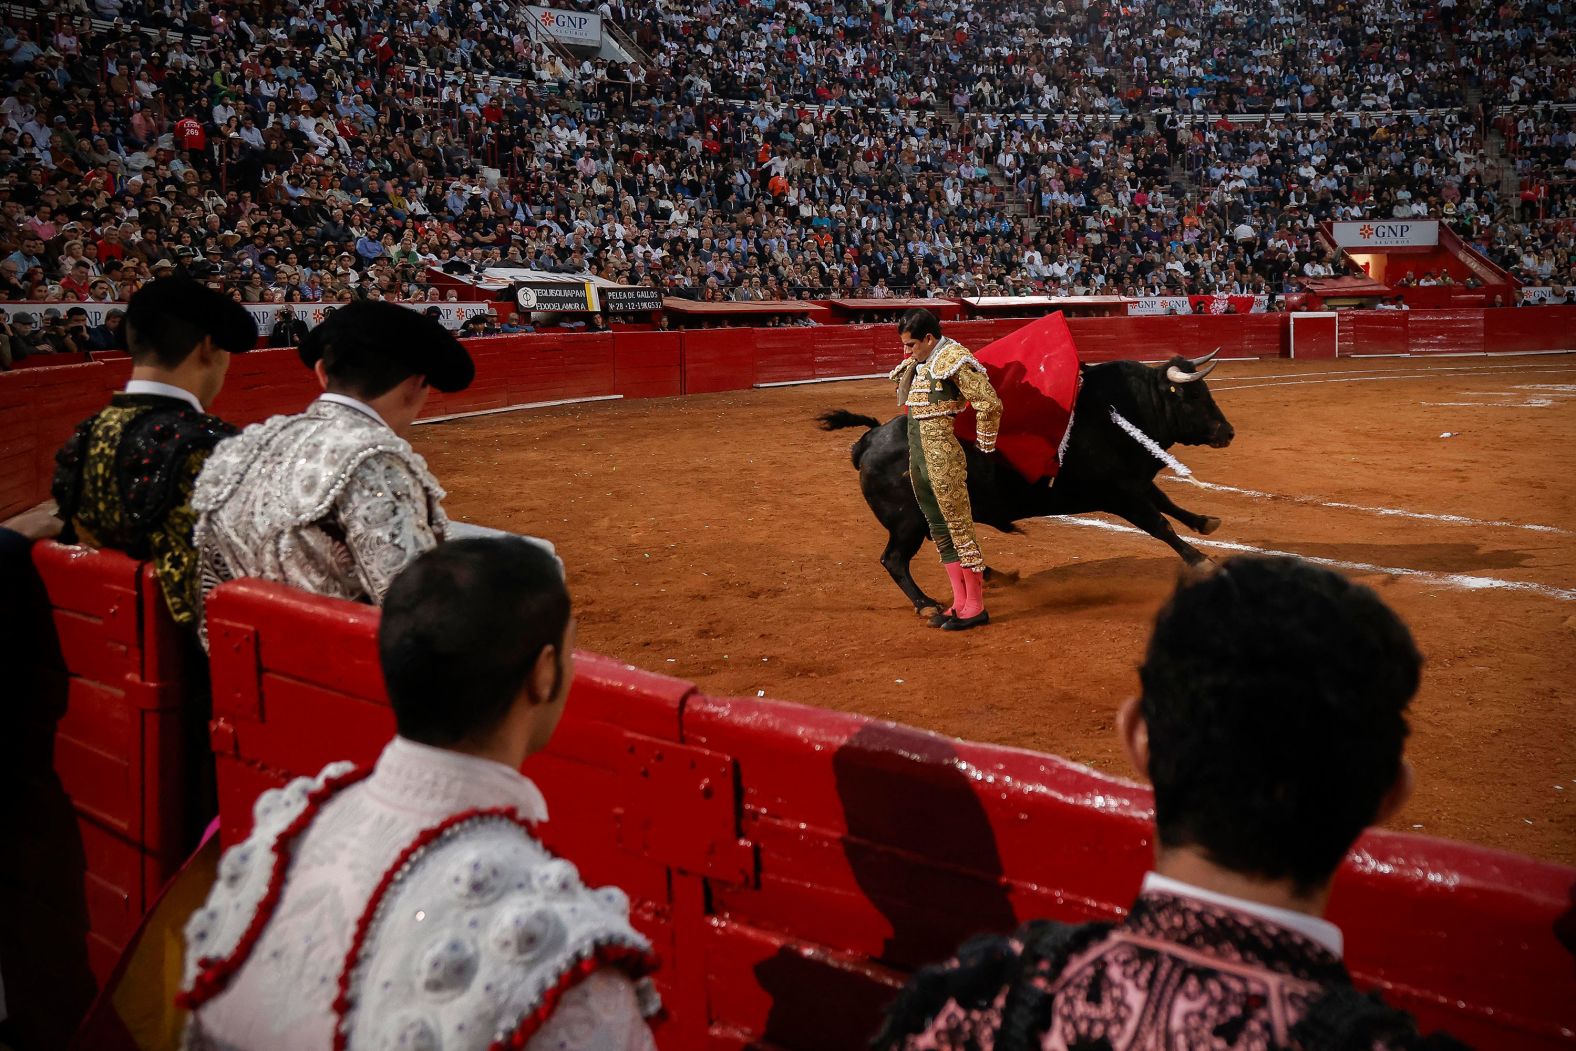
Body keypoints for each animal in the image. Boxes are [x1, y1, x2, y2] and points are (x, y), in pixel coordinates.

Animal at [819, 356, 1235, 617]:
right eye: (1193, 396)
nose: (1227, 432)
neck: (1120, 411)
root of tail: (868, 441)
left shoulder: (1134, 482)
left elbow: (1168, 504)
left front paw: (1206, 522)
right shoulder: (1120, 494)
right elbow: (1160, 524)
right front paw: (1203, 562)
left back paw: (995, 577)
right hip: (908, 523)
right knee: (895, 560)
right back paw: (927, 605)